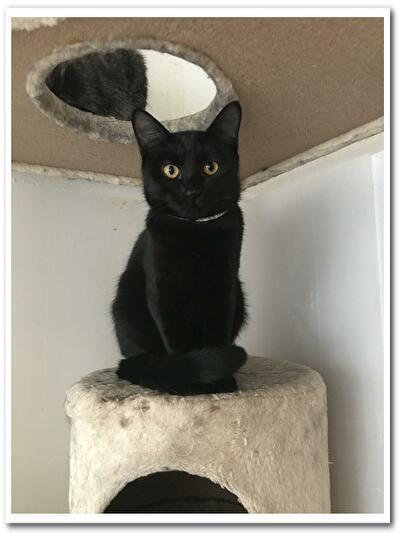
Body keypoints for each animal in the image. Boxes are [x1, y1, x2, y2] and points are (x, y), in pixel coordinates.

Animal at [111, 101, 247, 395]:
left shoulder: (224, 288)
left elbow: (217, 333)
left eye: (211, 167)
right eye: (170, 170)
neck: (195, 232)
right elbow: (177, 338)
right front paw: (191, 383)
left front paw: (220, 383)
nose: (191, 190)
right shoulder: (164, 292)